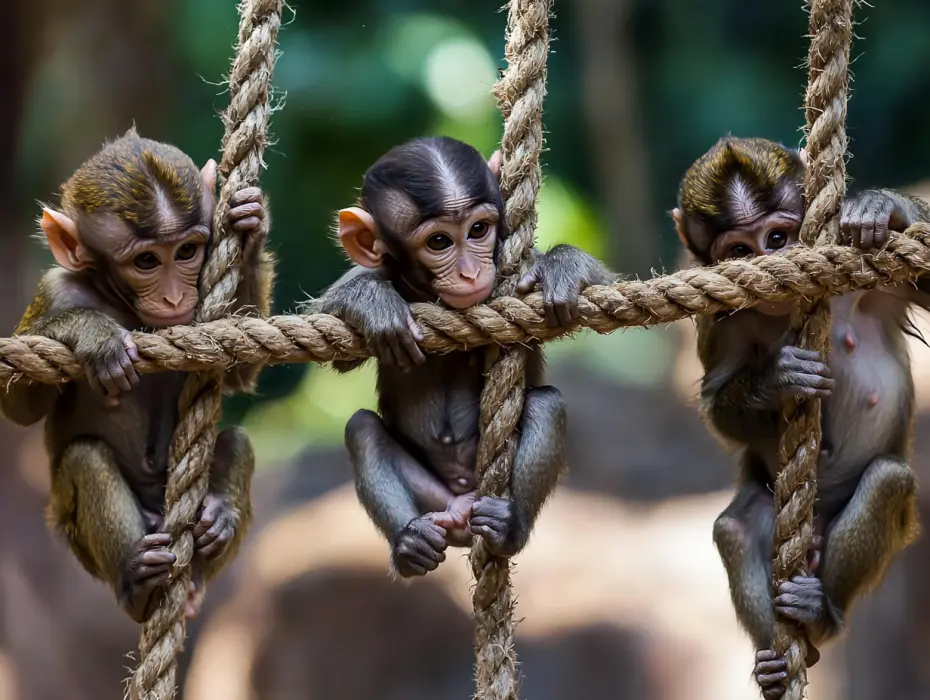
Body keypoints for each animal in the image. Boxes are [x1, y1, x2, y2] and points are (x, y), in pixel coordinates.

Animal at [0, 128, 274, 623]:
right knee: (84, 457)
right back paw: (137, 581)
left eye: (186, 251)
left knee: (237, 440)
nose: (174, 298)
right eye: (147, 262)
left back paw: (218, 519)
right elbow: (17, 407)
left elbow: (238, 373)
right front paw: (92, 332)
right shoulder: (55, 290)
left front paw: (249, 230)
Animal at [302, 136, 614, 577]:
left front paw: (563, 265)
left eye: (478, 230)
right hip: (434, 500)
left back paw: (508, 528)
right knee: (361, 429)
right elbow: (339, 348)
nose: (469, 271)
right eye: (439, 242)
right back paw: (410, 544)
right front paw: (371, 300)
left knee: (546, 405)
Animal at [673, 136, 926, 699]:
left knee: (888, 480)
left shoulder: (876, 284)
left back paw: (820, 617)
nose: (772, 259)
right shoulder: (717, 321)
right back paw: (777, 661)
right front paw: (775, 379)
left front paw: (881, 208)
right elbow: (716, 401)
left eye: (778, 236)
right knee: (735, 528)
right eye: (740, 252)